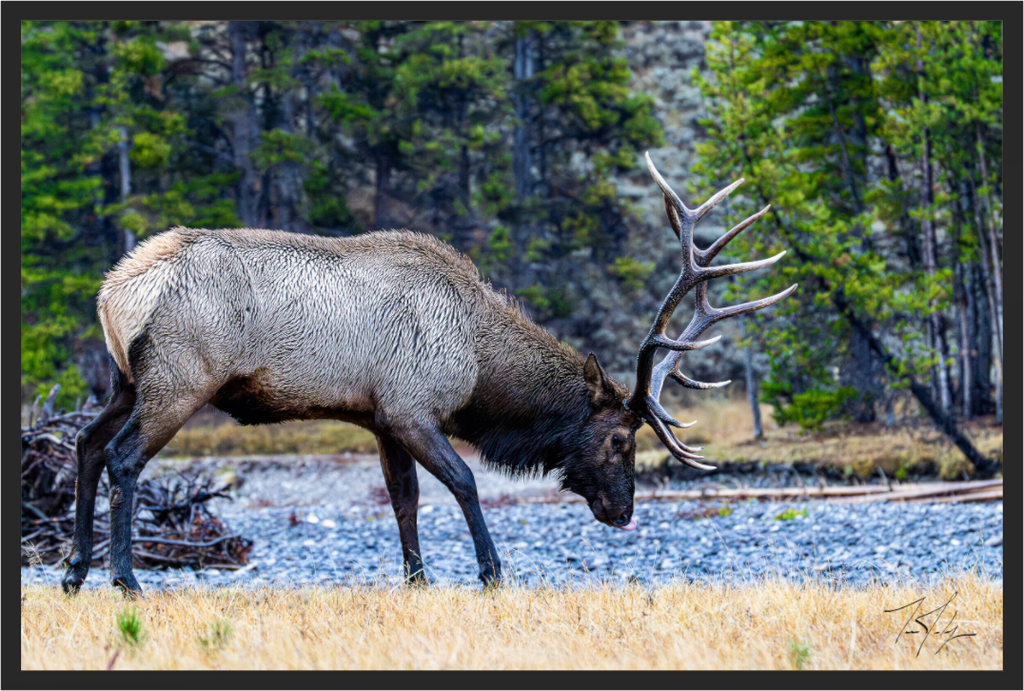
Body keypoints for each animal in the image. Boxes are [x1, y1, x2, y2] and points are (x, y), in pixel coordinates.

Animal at [60, 152, 796, 595]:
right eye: (620, 439)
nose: (623, 512)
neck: (476, 364)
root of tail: (113, 292)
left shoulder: (377, 416)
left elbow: (404, 500)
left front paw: (417, 580)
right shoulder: (411, 406)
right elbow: (465, 481)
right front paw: (491, 572)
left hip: (126, 381)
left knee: (86, 444)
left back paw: (73, 572)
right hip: (180, 380)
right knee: (123, 458)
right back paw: (125, 580)